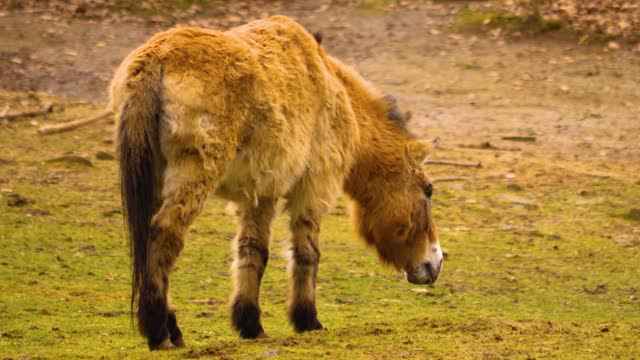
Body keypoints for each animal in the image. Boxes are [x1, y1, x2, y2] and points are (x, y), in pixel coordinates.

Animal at [111, 15, 440, 350]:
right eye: (428, 190)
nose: (435, 263)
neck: (335, 90)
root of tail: (157, 59)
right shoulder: (313, 190)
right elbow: (307, 252)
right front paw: (307, 321)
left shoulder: (259, 195)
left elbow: (252, 251)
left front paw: (250, 324)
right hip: (194, 178)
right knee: (165, 233)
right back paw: (159, 333)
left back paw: (173, 330)